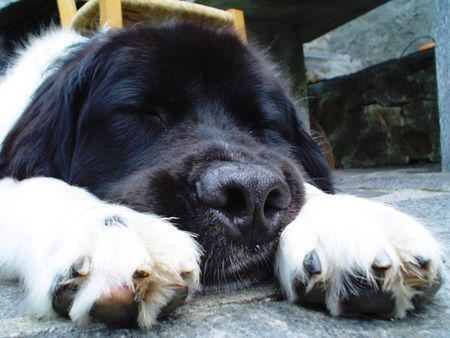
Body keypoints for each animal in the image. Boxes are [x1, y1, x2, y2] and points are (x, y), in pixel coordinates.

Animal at [0, 23, 442, 328]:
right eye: (145, 113)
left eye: (262, 124)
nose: (250, 195)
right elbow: (34, 187)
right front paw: (120, 231)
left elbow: (302, 182)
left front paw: (351, 222)